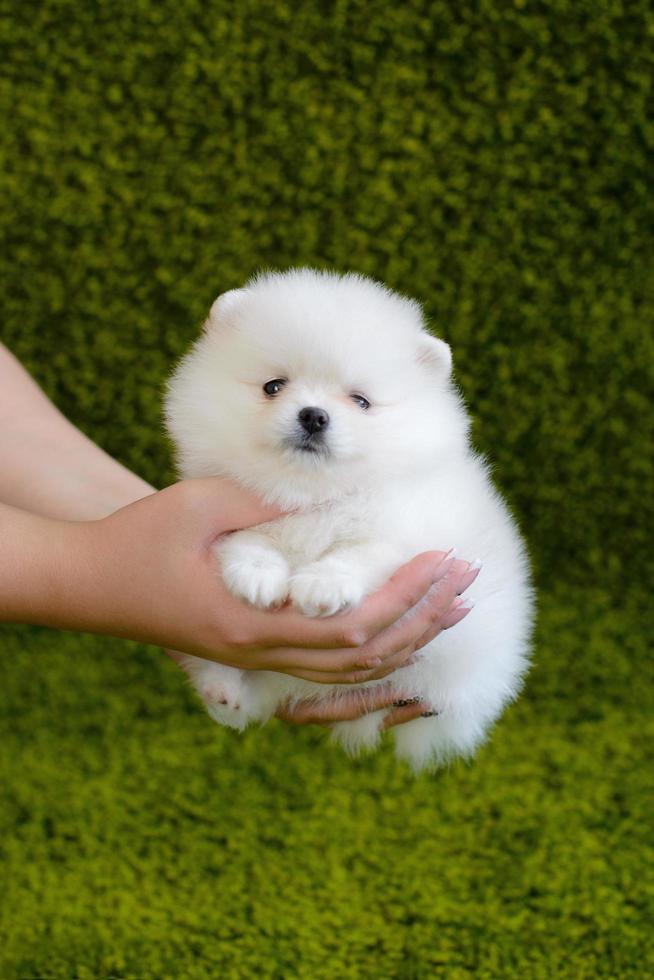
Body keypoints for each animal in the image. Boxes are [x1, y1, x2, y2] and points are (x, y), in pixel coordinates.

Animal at [167, 268, 536, 772]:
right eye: (273, 386)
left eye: (360, 401)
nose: (313, 416)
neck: (310, 494)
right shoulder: (221, 501)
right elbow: (249, 540)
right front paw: (257, 576)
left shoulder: (407, 533)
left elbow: (361, 553)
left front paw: (322, 585)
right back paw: (223, 690)